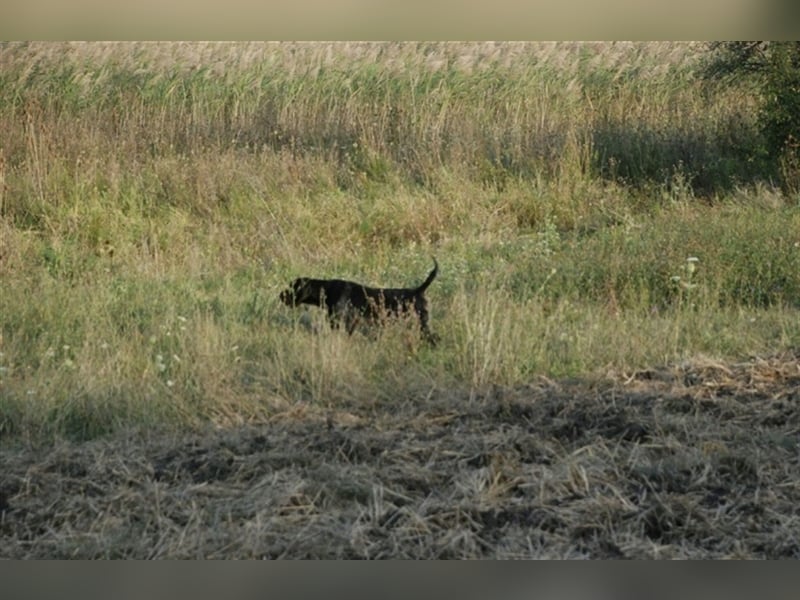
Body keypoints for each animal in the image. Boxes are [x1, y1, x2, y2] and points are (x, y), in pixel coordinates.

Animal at [282, 255, 440, 344]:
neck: (326, 289)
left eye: (291, 287)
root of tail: (419, 290)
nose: (280, 295)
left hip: (421, 323)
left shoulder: (338, 321)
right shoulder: (351, 323)